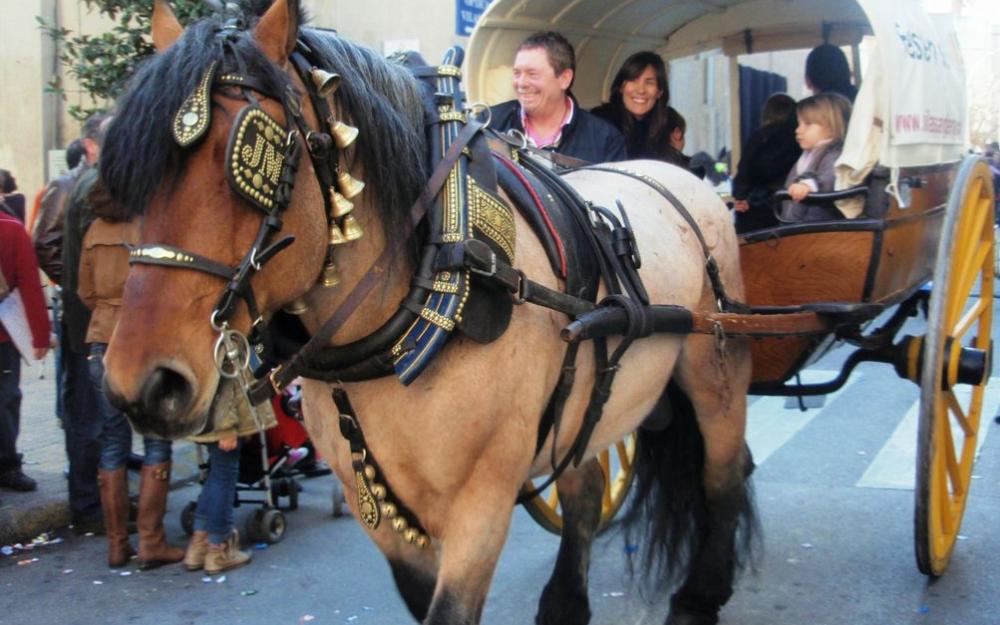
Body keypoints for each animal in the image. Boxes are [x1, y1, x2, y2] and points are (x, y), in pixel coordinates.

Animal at [101, 2, 752, 620]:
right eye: (130, 176)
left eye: (251, 154)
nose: (144, 384)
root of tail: (678, 176)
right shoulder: (380, 510)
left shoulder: (482, 502)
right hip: (583, 407)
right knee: (587, 490)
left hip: (715, 366)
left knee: (722, 472)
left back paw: (702, 593)